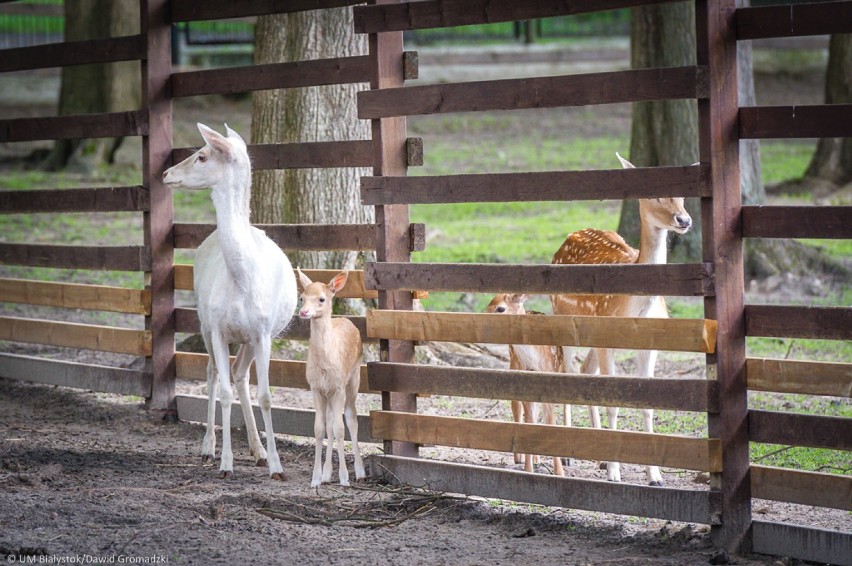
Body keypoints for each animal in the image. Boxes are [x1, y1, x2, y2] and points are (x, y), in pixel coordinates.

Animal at [161, 124, 298, 484]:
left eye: (201, 155)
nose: (166, 174)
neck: (242, 281)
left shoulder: (263, 333)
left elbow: (266, 396)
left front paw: (277, 466)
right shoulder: (219, 330)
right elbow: (222, 391)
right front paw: (225, 463)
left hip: (251, 337)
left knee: (240, 375)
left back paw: (258, 451)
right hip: (202, 320)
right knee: (213, 373)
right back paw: (208, 447)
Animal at [298, 270, 364, 488]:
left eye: (321, 299)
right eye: (301, 297)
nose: (303, 312)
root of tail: (347, 319)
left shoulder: (339, 386)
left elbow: (340, 428)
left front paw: (344, 478)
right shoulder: (316, 387)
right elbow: (319, 429)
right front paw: (315, 479)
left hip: (354, 377)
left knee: (351, 418)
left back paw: (359, 472)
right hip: (329, 393)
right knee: (328, 423)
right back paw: (327, 474)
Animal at [552, 153, 692, 486]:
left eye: (683, 194)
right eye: (654, 194)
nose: (684, 220)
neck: (637, 308)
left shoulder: (650, 345)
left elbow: (648, 406)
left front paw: (655, 475)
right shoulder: (608, 339)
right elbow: (613, 403)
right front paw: (616, 473)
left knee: (586, 372)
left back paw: (600, 457)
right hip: (564, 318)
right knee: (569, 372)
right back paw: (569, 455)